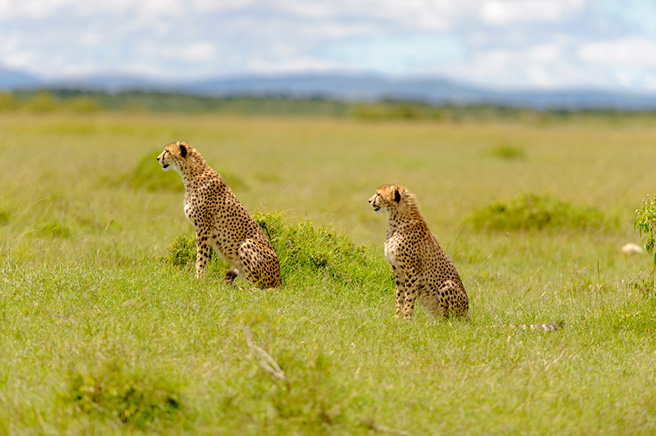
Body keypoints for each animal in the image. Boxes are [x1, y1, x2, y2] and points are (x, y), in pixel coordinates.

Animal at [160, 141, 284, 288]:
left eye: (167, 151)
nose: (158, 158)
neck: (193, 174)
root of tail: (279, 280)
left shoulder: (204, 226)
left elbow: (201, 256)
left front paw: (198, 279)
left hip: (247, 244)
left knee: (256, 287)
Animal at [368, 182, 466, 318]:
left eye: (378, 194)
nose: (369, 201)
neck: (395, 220)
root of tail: (467, 315)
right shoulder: (397, 270)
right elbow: (400, 296)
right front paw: (397, 317)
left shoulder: (412, 270)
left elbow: (409, 296)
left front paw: (407, 318)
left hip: (447, 285)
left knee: (449, 319)